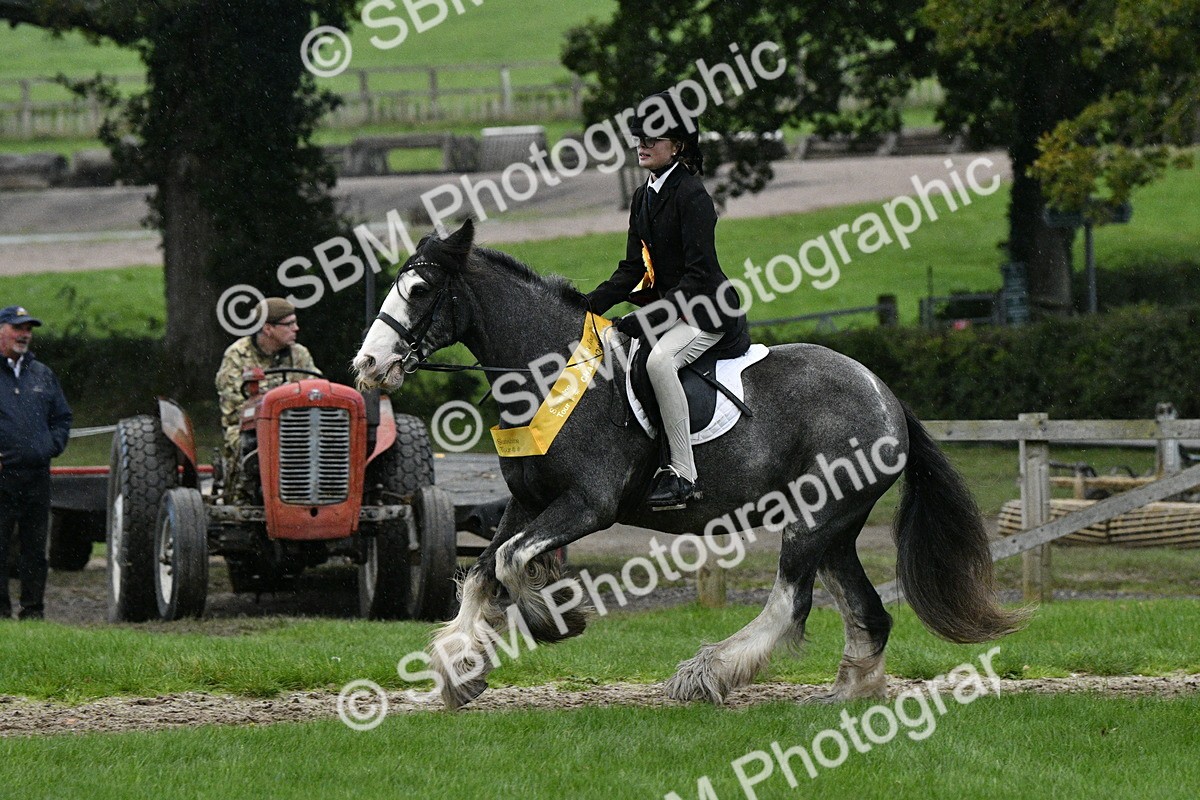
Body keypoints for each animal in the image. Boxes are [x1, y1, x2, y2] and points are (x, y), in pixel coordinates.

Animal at [352, 220, 1026, 710]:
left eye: (418, 292)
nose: (367, 366)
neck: (547, 372)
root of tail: (885, 394)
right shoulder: (528, 501)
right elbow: (485, 570)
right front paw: (461, 669)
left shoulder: (587, 505)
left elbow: (513, 562)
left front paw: (553, 620)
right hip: (837, 527)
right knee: (867, 612)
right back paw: (850, 693)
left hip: (815, 517)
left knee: (791, 600)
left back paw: (706, 675)